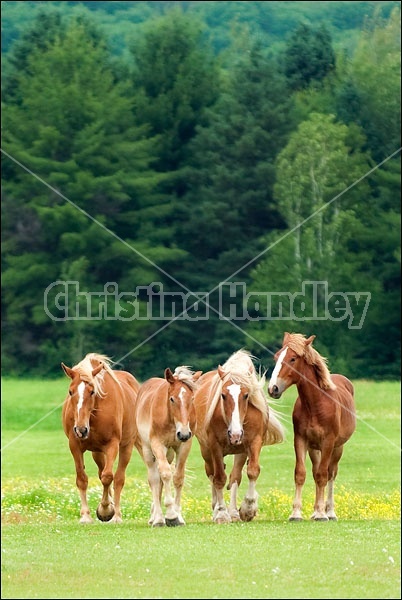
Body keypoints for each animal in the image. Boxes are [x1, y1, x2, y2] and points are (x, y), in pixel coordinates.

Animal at [60, 354, 140, 524]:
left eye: (92, 392)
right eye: (70, 392)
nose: (81, 429)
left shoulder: (112, 445)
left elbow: (108, 477)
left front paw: (106, 510)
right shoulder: (74, 445)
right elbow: (82, 479)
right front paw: (85, 516)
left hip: (127, 446)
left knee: (118, 478)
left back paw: (116, 515)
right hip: (97, 452)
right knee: (101, 472)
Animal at [134, 366, 203, 524]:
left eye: (192, 398)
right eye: (172, 399)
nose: (183, 434)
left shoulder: (184, 446)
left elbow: (178, 477)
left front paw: (178, 516)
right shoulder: (157, 445)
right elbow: (165, 474)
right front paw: (170, 515)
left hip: (169, 453)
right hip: (148, 451)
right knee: (154, 478)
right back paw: (157, 518)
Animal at [193, 350, 284, 524]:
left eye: (246, 395)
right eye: (222, 395)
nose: (235, 434)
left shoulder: (254, 442)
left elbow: (252, 471)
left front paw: (248, 509)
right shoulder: (214, 445)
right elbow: (219, 478)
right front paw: (221, 513)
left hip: (240, 451)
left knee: (235, 476)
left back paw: (234, 512)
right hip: (206, 451)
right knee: (212, 474)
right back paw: (217, 508)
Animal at [268, 332, 356, 520]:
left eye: (293, 359)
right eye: (276, 357)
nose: (273, 388)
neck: (315, 404)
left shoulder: (328, 442)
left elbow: (323, 475)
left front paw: (323, 514)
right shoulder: (301, 440)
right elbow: (301, 474)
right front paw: (296, 513)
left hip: (337, 448)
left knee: (331, 474)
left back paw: (329, 512)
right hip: (314, 448)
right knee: (316, 471)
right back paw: (316, 511)